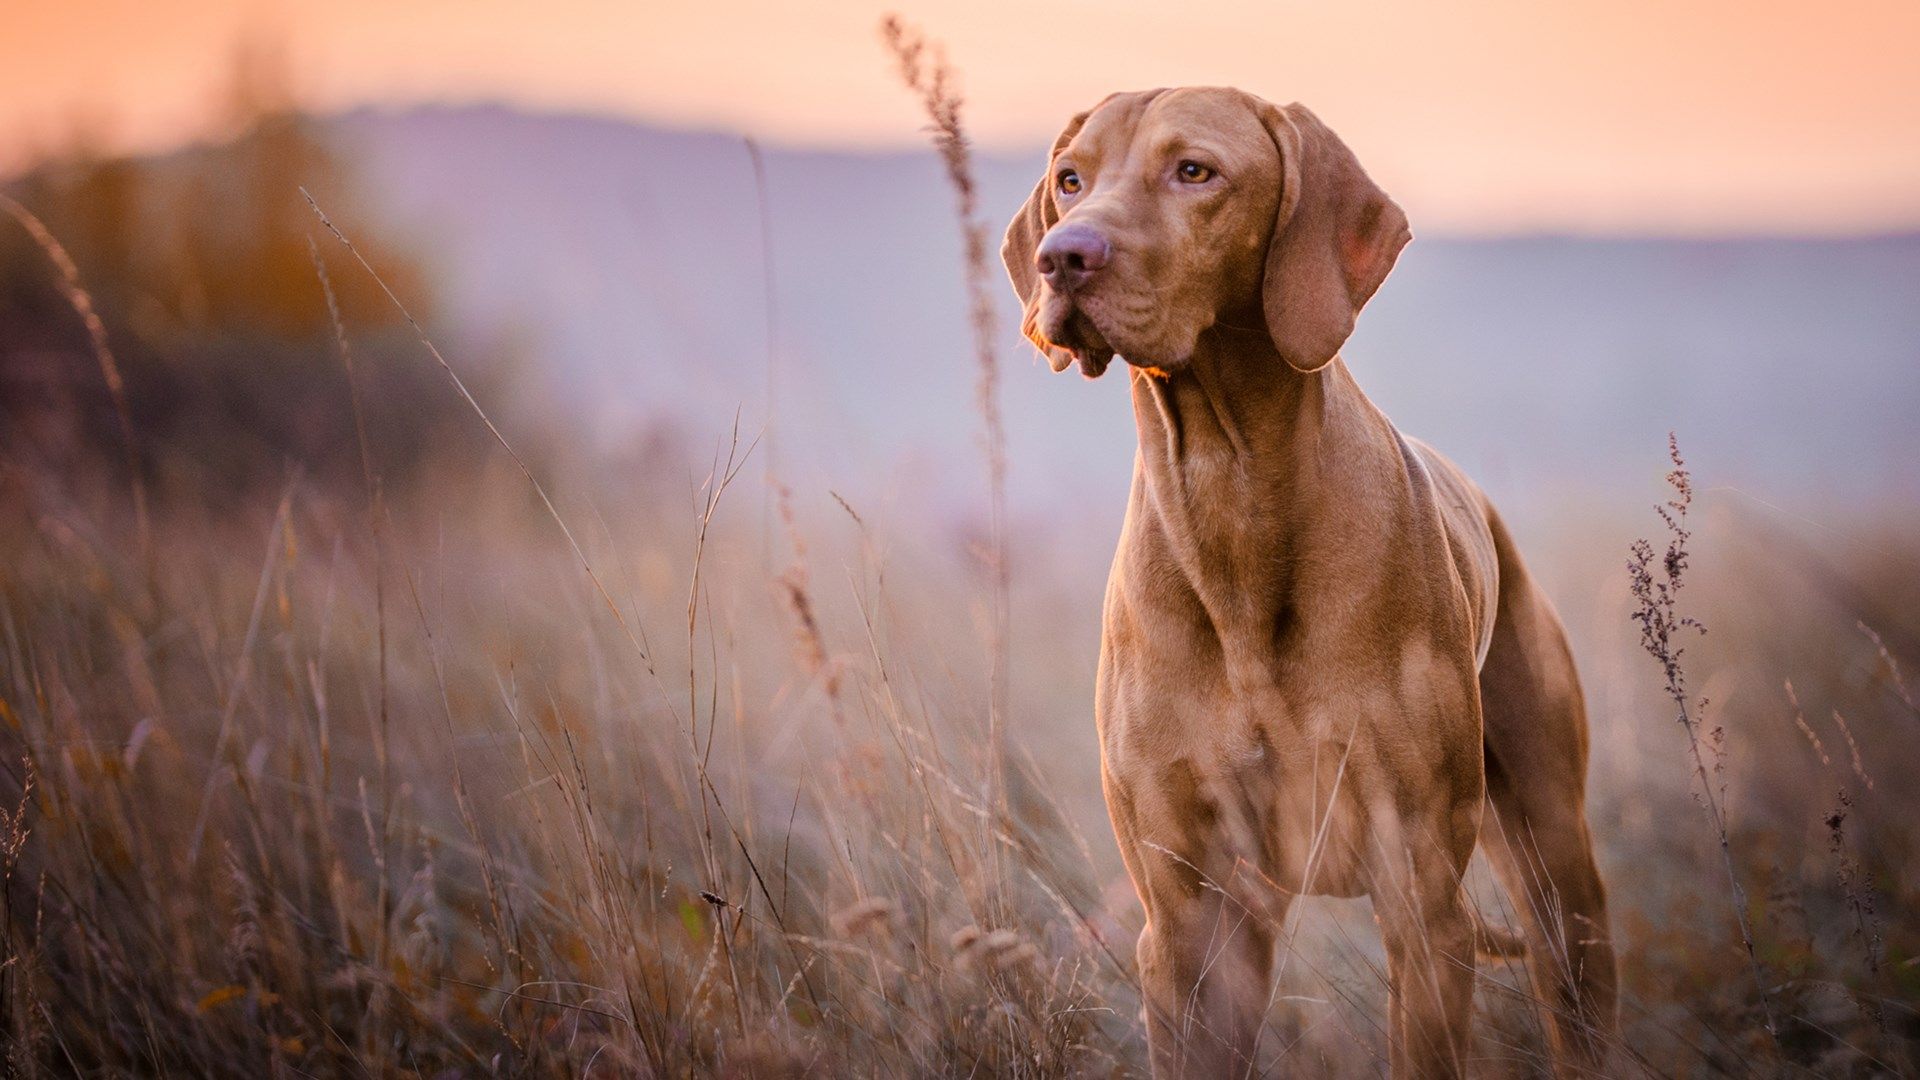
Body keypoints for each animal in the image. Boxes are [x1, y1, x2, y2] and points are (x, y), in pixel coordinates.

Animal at [1006, 85, 1620, 1076]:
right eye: (1070, 179)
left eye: (1194, 171)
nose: (1063, 255)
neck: (1230, 499)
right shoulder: (1189, 921)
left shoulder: (1421, 899)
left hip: (1558, 869)